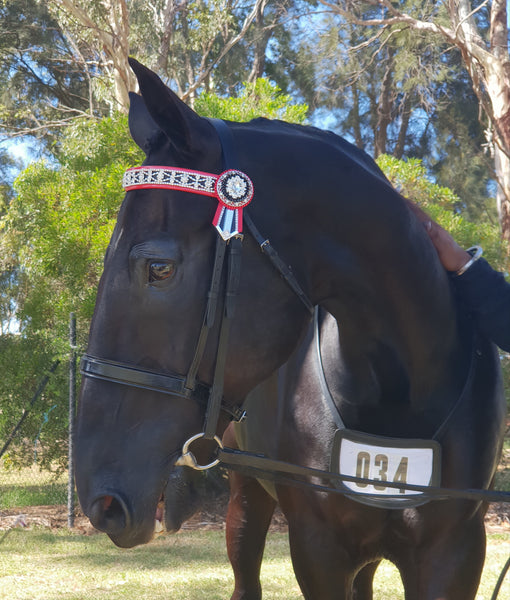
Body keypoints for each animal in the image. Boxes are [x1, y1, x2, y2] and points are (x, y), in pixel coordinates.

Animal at [73, 57, 504, 600]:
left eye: (158, 268)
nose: (100, 501)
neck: (399, 394)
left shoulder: (455, 553)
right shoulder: (318, 549)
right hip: (247, 497)